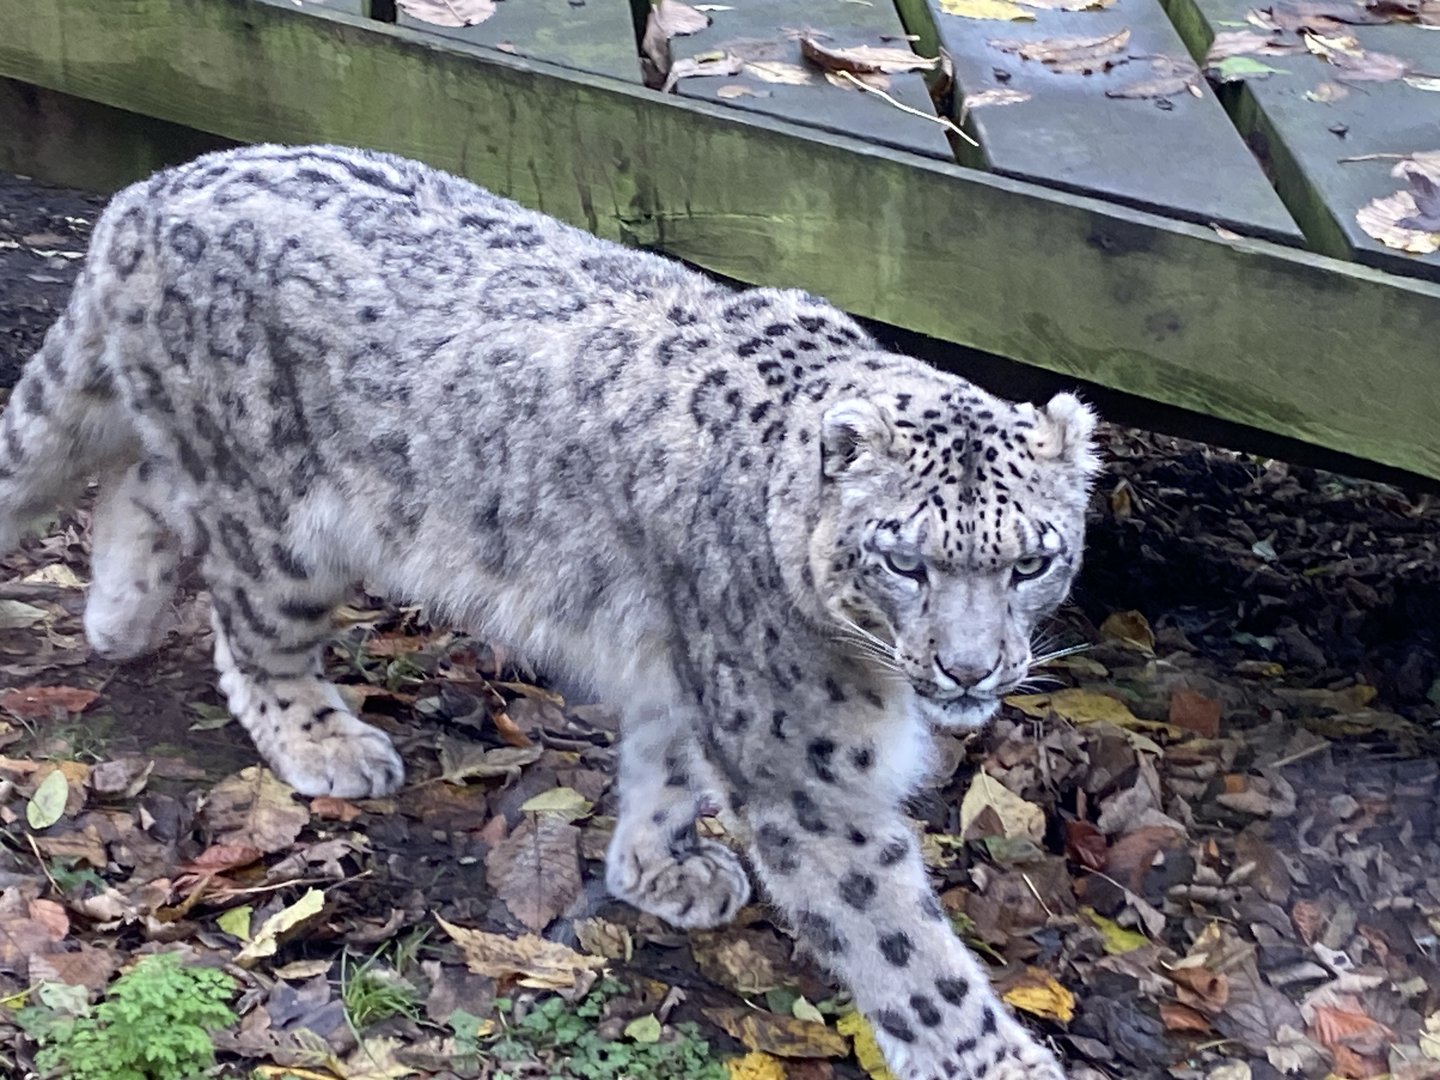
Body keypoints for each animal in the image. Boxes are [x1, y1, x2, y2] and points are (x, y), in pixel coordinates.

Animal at [0, 144, 1100, 1080]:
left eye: (1033, 560)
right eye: (906, 562)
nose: (972, 668)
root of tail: (148, 194)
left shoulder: (686, 670)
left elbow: (667, 767)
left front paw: (660, 870)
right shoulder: (804, 769)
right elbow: (898, 940)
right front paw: (996, 1058)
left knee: (141, 482)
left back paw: (119, 618)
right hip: (280, 522)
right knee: (247, 626)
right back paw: (324, 742)